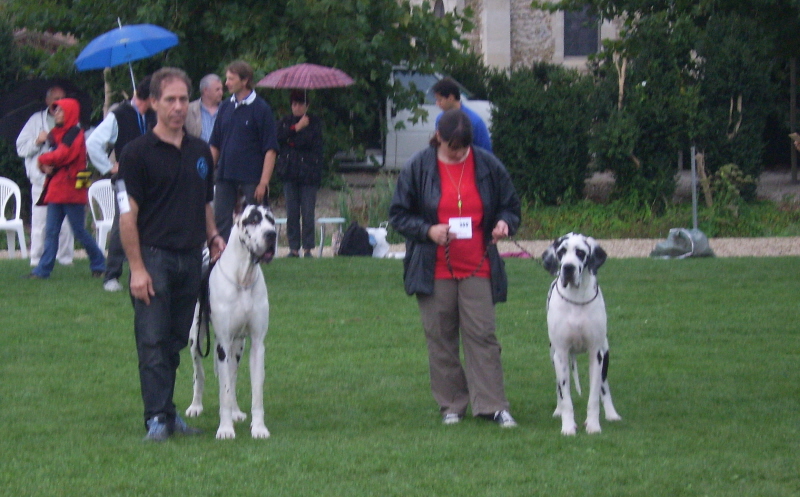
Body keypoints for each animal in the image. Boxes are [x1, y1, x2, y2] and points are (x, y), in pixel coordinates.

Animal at [186, 202, 276, 438]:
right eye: (252, 220)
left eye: (272, 221)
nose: (271, 235)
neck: (243, 277)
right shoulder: (222, 345)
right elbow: (223, 391)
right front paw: (225, 429)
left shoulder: (256, 345)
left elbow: (255, 391)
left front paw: (259, 427)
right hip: (196, 339)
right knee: (199, 374)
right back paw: (195, 406)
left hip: (238, 346)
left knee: (232, 378)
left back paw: (235, 411)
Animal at [540, 232, 620, 434]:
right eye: (561, 252)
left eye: (580, 252)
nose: (568, 268)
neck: (576, 299)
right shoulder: (561, 354)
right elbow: (565, 396)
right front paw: (568, 427)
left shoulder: (596, 354)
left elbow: (594, 397)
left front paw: (593, 426)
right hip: (553, 355)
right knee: (559, 388)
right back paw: (558, 410)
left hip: (605, 353)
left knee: (604, 386)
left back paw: (612, 413)